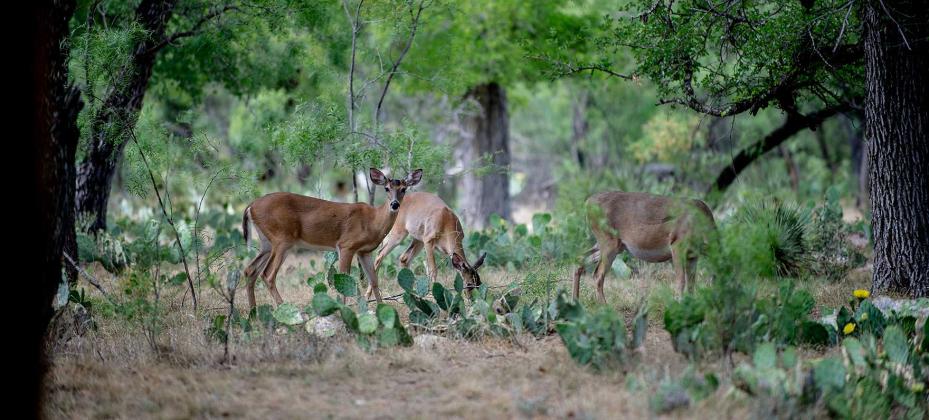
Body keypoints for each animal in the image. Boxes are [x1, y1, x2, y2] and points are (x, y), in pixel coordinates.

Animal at [241, 168, 423, 311]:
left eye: (404, 189)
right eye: (386, 188)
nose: (394, 204)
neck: (373, 221)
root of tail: (250, 206)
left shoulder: (364, 251)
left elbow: (373, 280)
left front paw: (381, 308)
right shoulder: (346, 245)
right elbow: (345, 278)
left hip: (266, 243)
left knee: (250, 270)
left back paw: (254, 311)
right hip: (282, 239)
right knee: (268, 274)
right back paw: (285, 308)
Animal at [573, 191, 716, 303]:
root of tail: (587, 203)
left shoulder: (693, 255)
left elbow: (691, 284)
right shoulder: (678, 245)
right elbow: (681, 281)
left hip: (614, 245)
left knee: (579, 259)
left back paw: (575, 301)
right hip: (608, 241)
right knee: (598, 274)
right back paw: (606, 309)